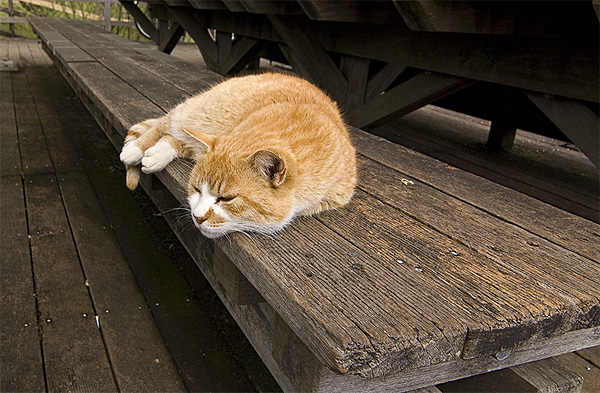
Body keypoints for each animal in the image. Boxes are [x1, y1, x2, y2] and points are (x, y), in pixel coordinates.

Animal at [120, 74, 358, 239]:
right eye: (196, 189)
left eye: (227, 199)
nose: (197, 217)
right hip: (195, 115)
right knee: (163, 126)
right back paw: (136, 150)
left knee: (173, 139)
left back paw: (156, 154)